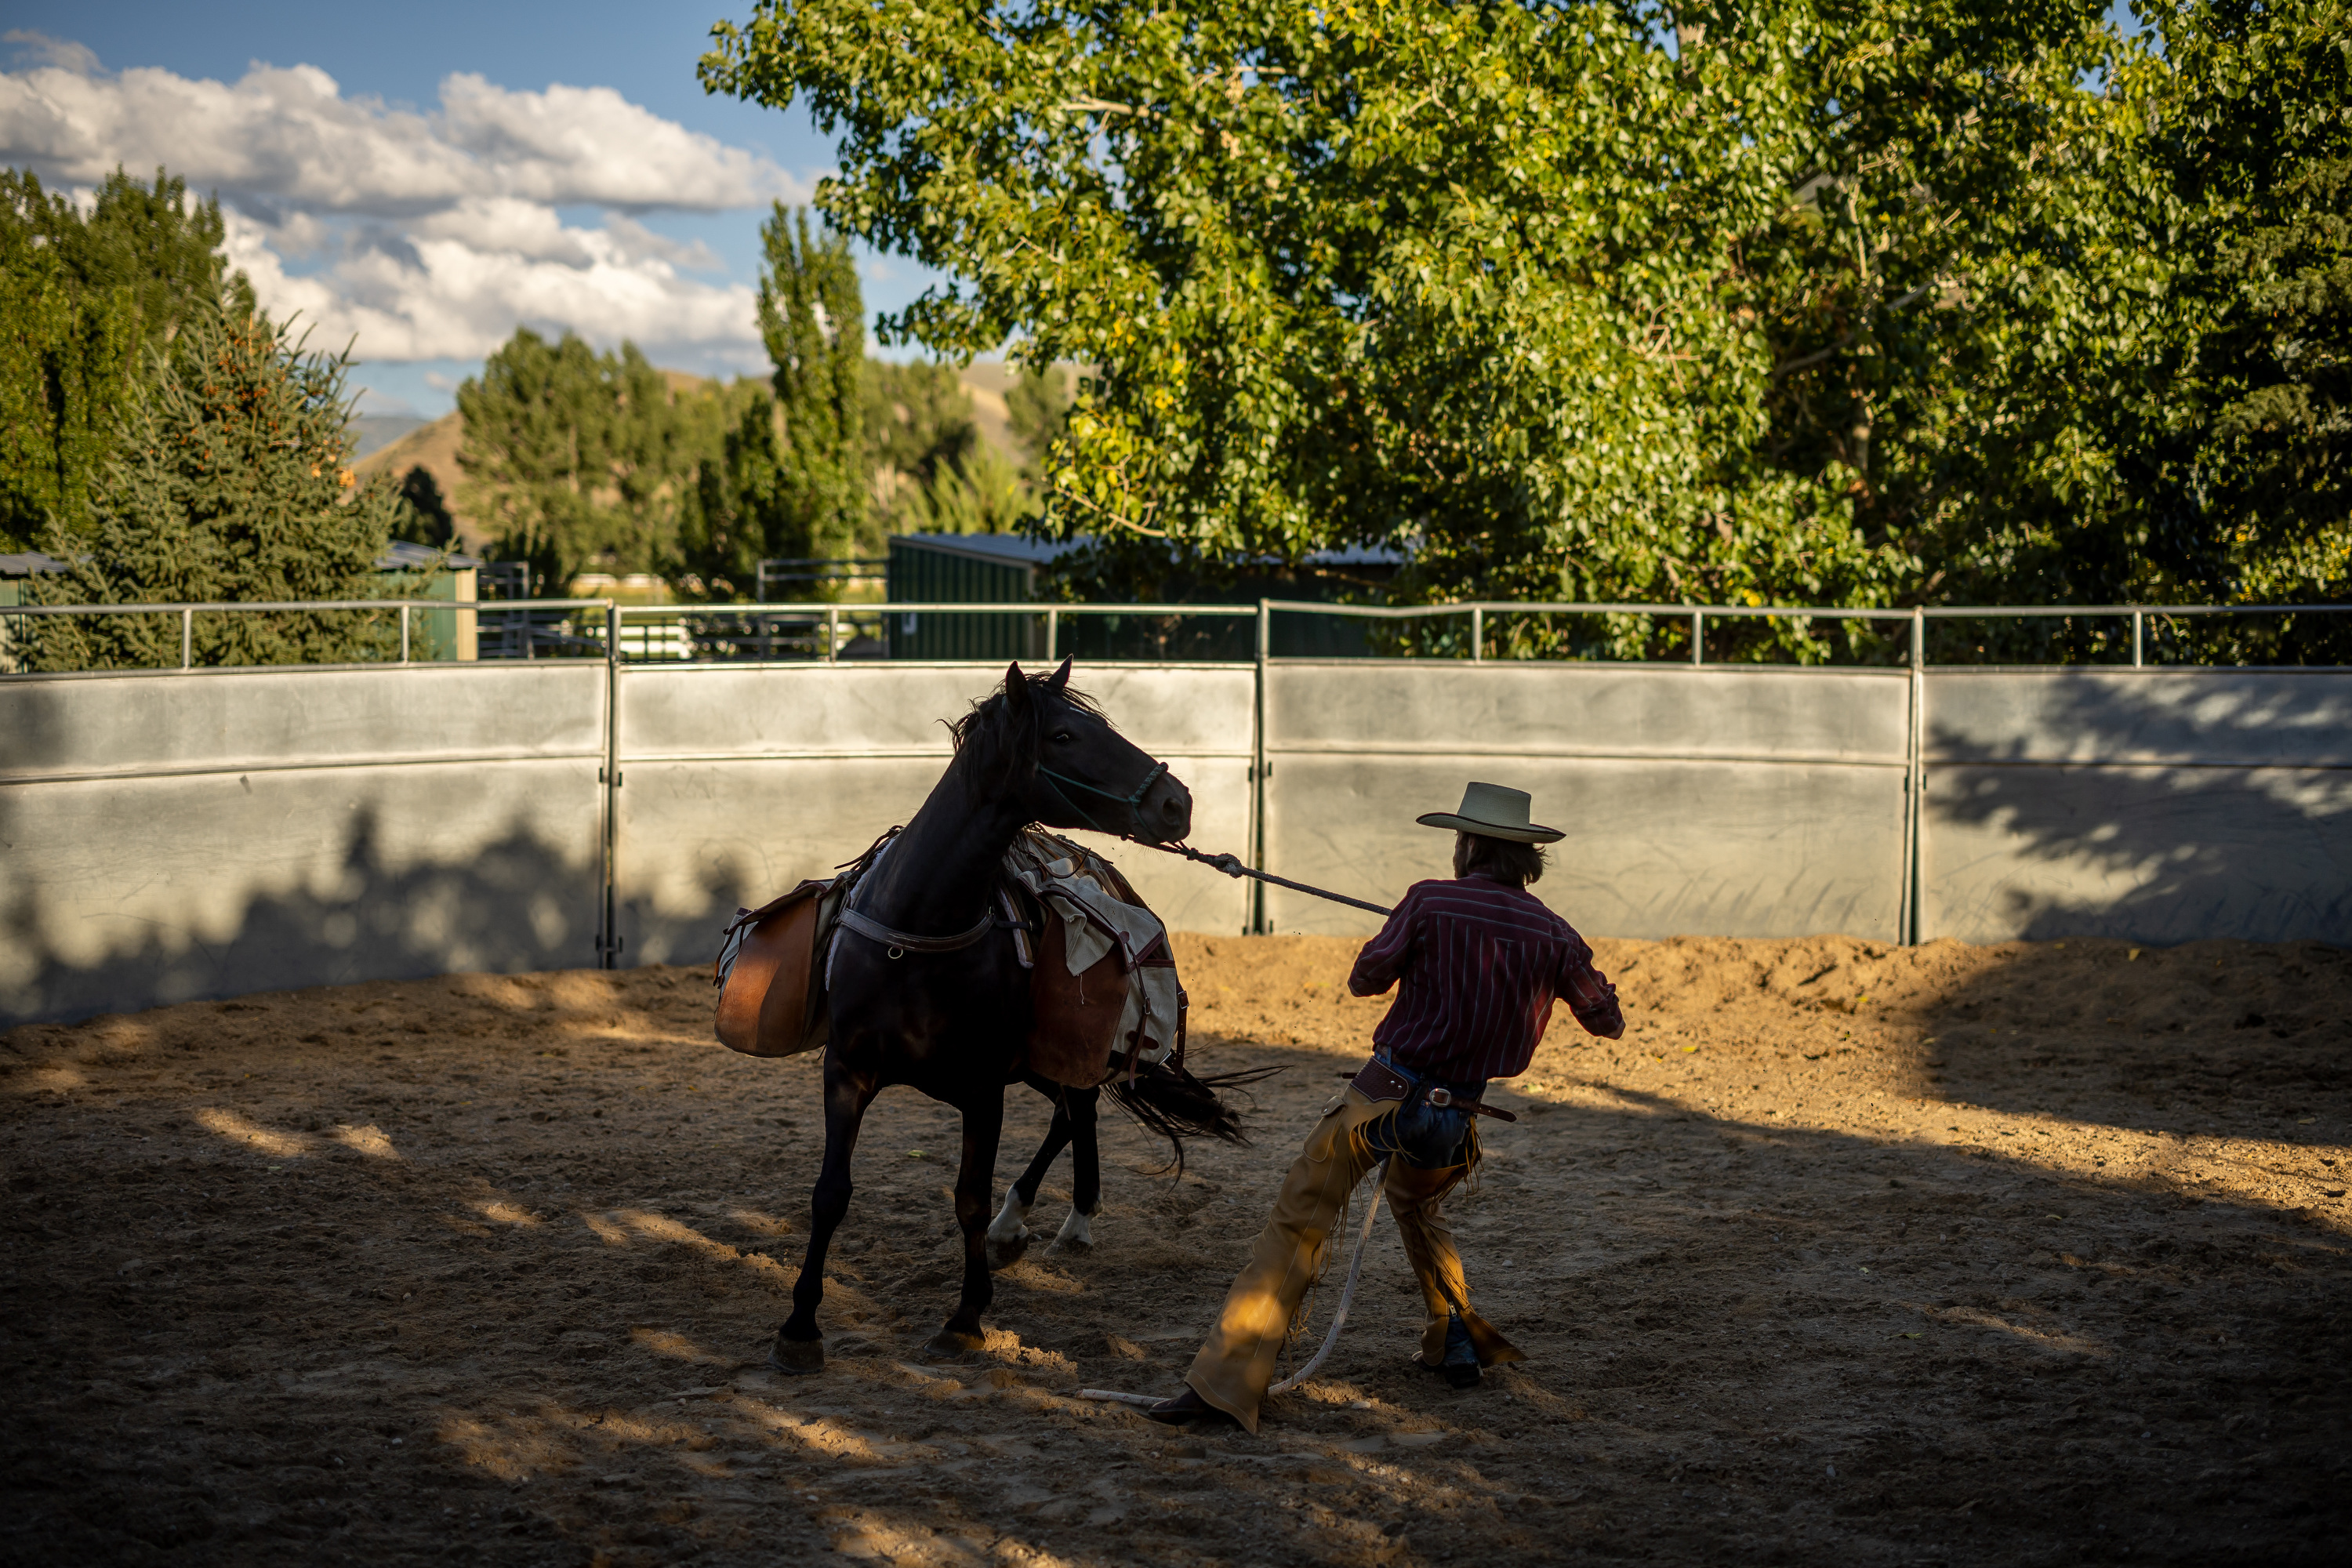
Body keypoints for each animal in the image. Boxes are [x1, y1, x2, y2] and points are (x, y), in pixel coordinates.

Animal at [776, 658, 1251, 1363]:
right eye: (1062, 736)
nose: (1177, 802)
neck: (918, 929)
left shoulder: (983, 1089)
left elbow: (969, 1199)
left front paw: (965, 1317)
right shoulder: (847, 1072)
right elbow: (830, 1193)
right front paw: (800, 1325)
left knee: (1074, 1111)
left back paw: (1044, 1223)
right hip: (1037, 1062)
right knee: (1071, 1112)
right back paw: (1040, 1224)